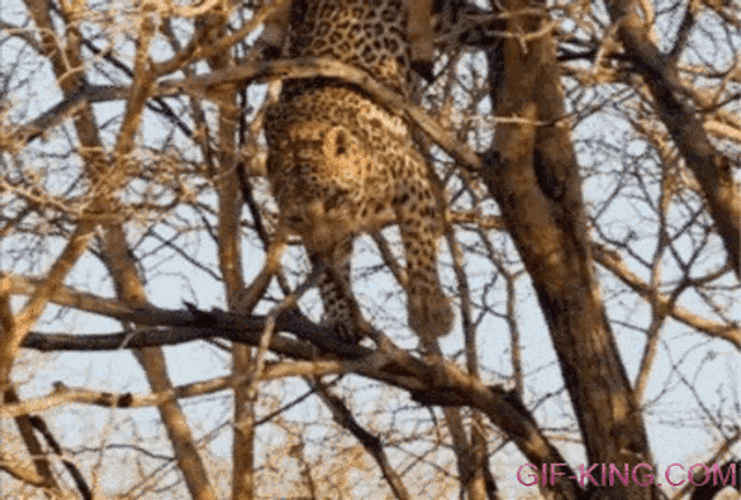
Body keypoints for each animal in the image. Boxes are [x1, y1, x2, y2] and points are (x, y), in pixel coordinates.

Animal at [264, 0, 453, 346]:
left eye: (333, 199)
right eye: (297, 218)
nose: (325, 249)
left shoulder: (410, 174)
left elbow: (418, 244)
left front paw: (429, 311)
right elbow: (331, 276)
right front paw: (341, 317)